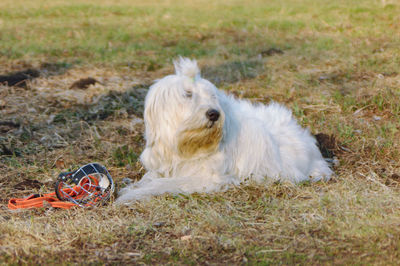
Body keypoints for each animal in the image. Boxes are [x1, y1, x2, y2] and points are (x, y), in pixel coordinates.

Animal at [115, 57, 332, 204]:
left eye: (212, 96)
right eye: (188, 94)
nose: (213, 114)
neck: (190, 146)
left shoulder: (207, 178)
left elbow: (165, 184)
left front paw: (132, 194)